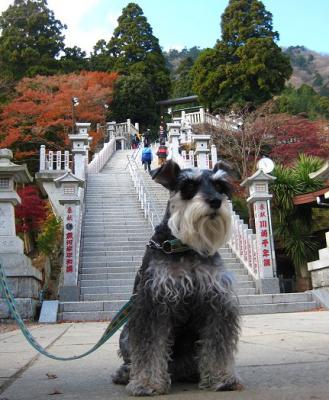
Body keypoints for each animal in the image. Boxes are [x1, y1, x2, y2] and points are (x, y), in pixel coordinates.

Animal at [113, 160, 241, 396]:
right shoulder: (153, 304)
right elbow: (149, 347)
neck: (185, 247)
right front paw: (147, 383)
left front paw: (222, 378)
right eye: (188, 186)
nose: (216, 201)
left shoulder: (216, 303)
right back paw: (125, 373)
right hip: (126, 333)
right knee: (131, 358)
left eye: (220, 186)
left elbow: (217, 345)